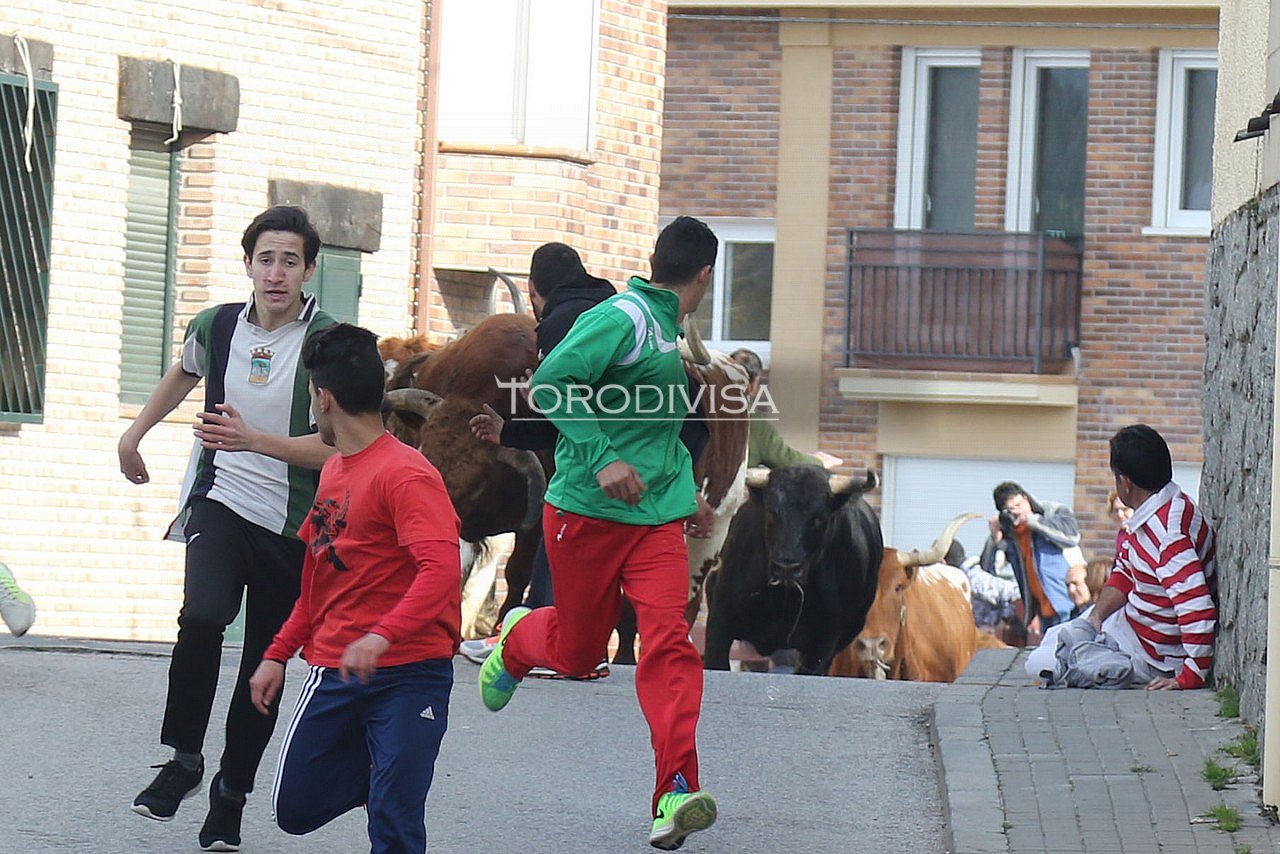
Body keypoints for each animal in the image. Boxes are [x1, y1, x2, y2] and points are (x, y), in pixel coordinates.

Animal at [702, 465, 883, 676]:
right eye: (771, 512)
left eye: (818, 518)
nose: (786, 567)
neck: (784, 600)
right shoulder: (720, 623)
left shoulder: (824, 643)